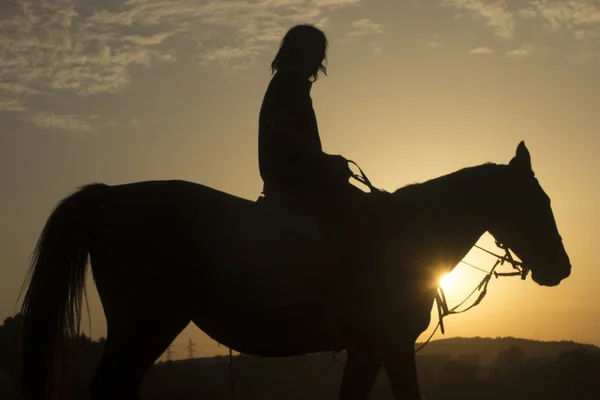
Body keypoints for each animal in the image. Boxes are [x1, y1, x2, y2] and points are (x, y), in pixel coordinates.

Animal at [19, 142, 572, 398]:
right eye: (537, 202)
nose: (562, 268)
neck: (408, 234)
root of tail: (112, 196)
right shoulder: (385, 343)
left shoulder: (375, 348)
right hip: (145, 324)